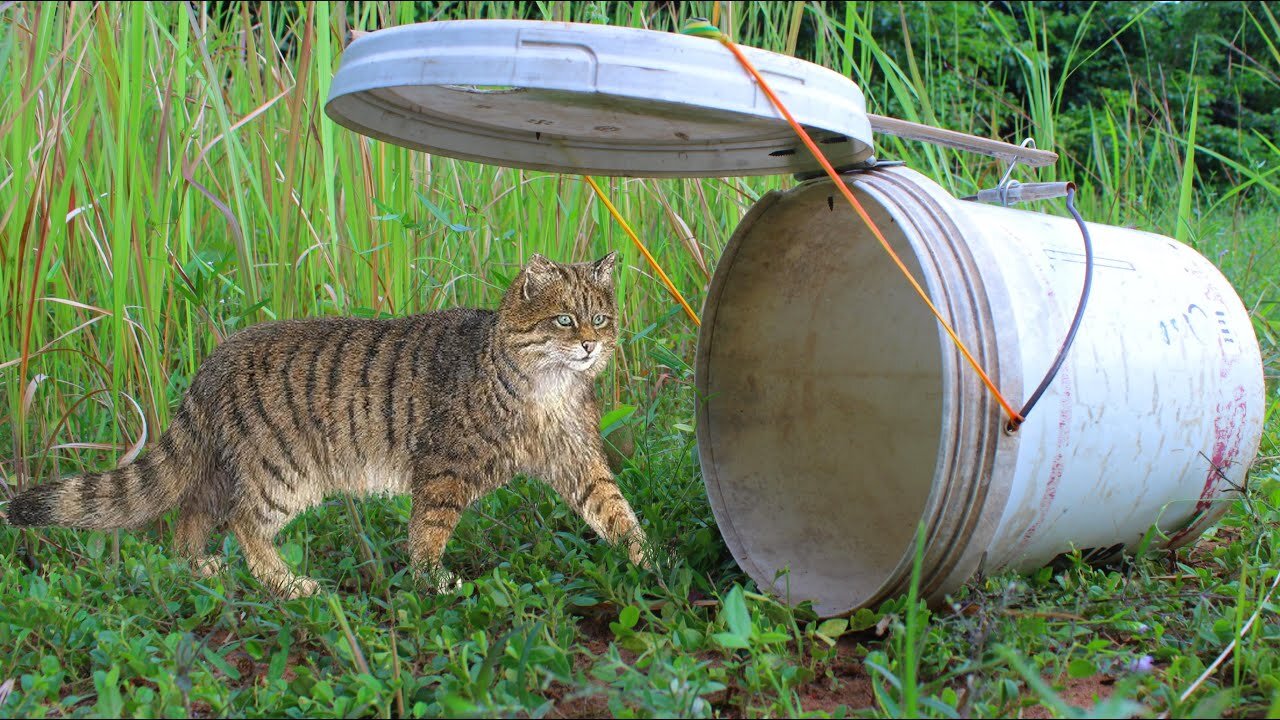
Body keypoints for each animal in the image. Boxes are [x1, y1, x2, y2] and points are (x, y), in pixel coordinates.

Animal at [5, 251, 650, 594]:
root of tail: (214, 359)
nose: (590, 345)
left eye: (600, 318)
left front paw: (654, 566)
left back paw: (199, 568)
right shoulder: (443, 471)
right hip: (281, 475)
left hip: (223, 470)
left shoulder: (580, 461)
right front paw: (429, 582)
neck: (547, 389)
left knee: (190, 520)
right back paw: (286, 585)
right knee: (243, 524)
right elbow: (428, 534)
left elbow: (616, 512)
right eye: (564, 320)